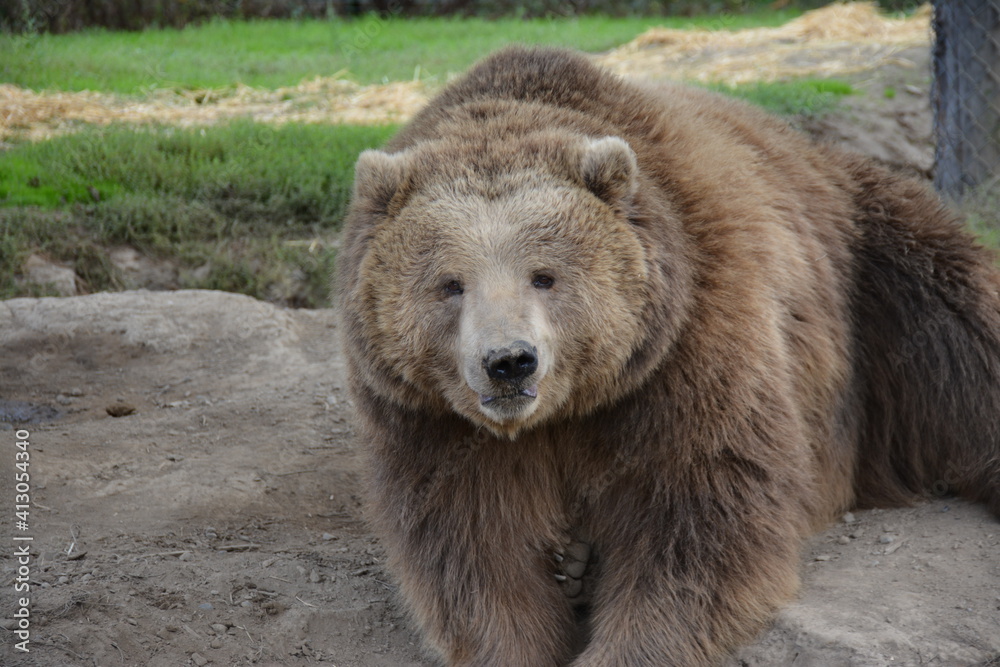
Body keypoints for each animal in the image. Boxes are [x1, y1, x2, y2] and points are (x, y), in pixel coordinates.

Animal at [337, 46, 1000, 666]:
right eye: (451, 284)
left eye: (544, 275)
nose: (509, 362)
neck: (563, 412)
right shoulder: (430, 418)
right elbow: (474, 547)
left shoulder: (686, 347)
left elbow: (698, 513)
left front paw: (627, 644)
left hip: (875, 267)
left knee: (964, 332)